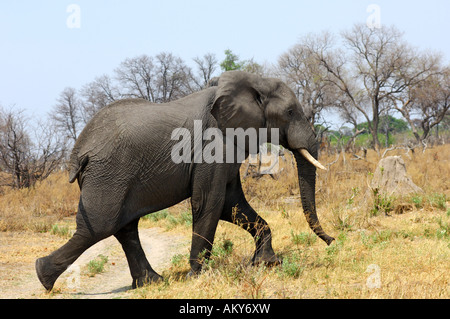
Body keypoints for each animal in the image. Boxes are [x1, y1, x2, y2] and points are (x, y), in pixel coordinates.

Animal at [36, 71, 334, 292]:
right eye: (291, 112)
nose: (331, 241)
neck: (251, 81)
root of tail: (78, 150)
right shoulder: (212, 145)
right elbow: (209, 202)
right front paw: (197, 276)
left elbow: (231, 204)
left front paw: (268, 263)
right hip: (108, 174)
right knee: (99, 227)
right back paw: (43, 277)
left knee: (124, 227)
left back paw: (152, 282)